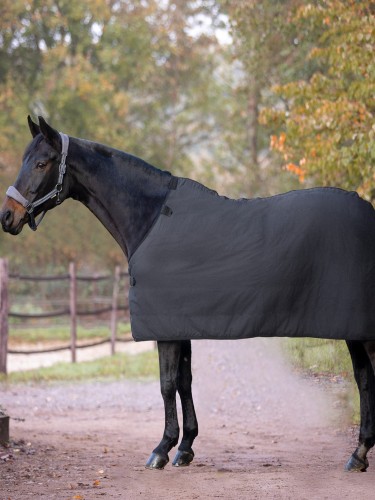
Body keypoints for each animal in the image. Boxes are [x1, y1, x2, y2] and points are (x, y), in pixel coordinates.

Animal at [0, 114, 375, 472]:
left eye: (42, 163)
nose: (7, 216)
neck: (151, 218)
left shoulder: (164, 326)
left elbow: (167, 383)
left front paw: (161, 449)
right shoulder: (178, 324)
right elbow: (184, 381)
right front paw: (185, 448)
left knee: (365, 377)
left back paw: (358, 453)